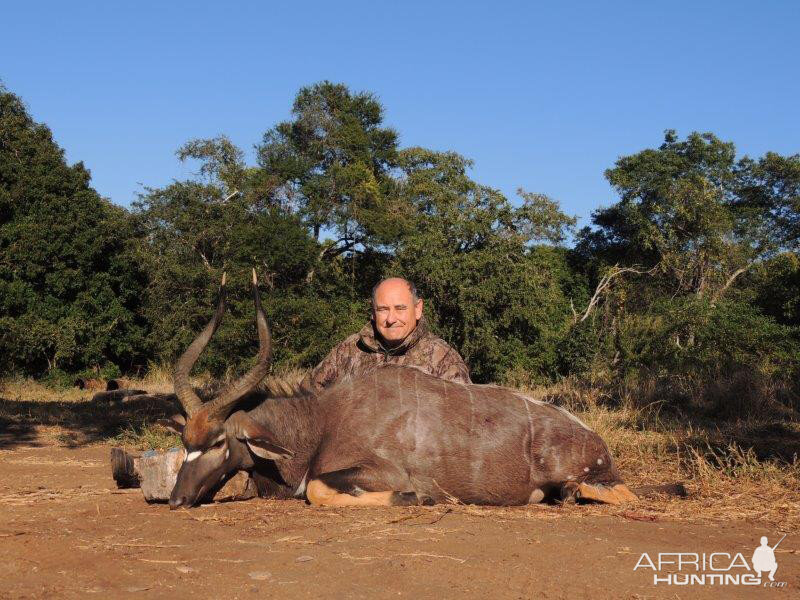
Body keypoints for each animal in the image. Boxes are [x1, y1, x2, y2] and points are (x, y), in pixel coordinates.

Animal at [169, 272, 636, 510]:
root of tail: (595, 440)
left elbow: (318, 490)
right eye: (185, 442)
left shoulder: (380, 472)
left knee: (613, 493)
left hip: (585, 477)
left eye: (218, 442)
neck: (321, 421)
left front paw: (417, 497)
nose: (177, 499)